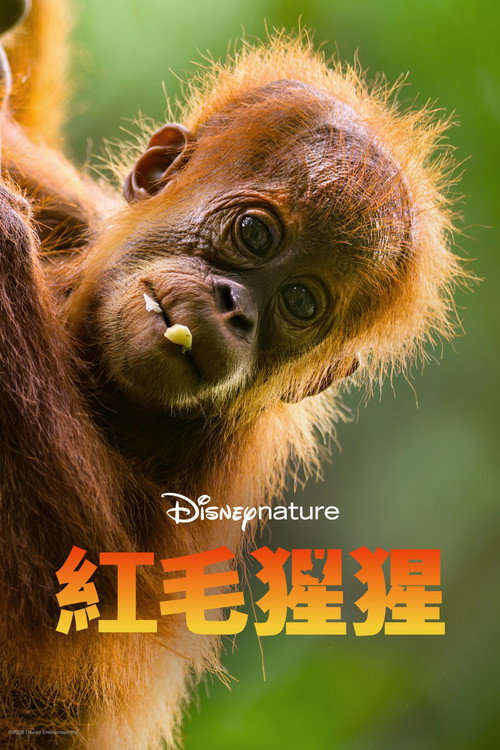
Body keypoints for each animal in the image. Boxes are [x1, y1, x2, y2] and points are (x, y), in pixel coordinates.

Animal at [0, 0, 466, 747]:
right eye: (254, 233)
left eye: (300, 302)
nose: (236, 309)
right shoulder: (78, 212)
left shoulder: (214, 470)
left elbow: (82, 595)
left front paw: (5, 230)